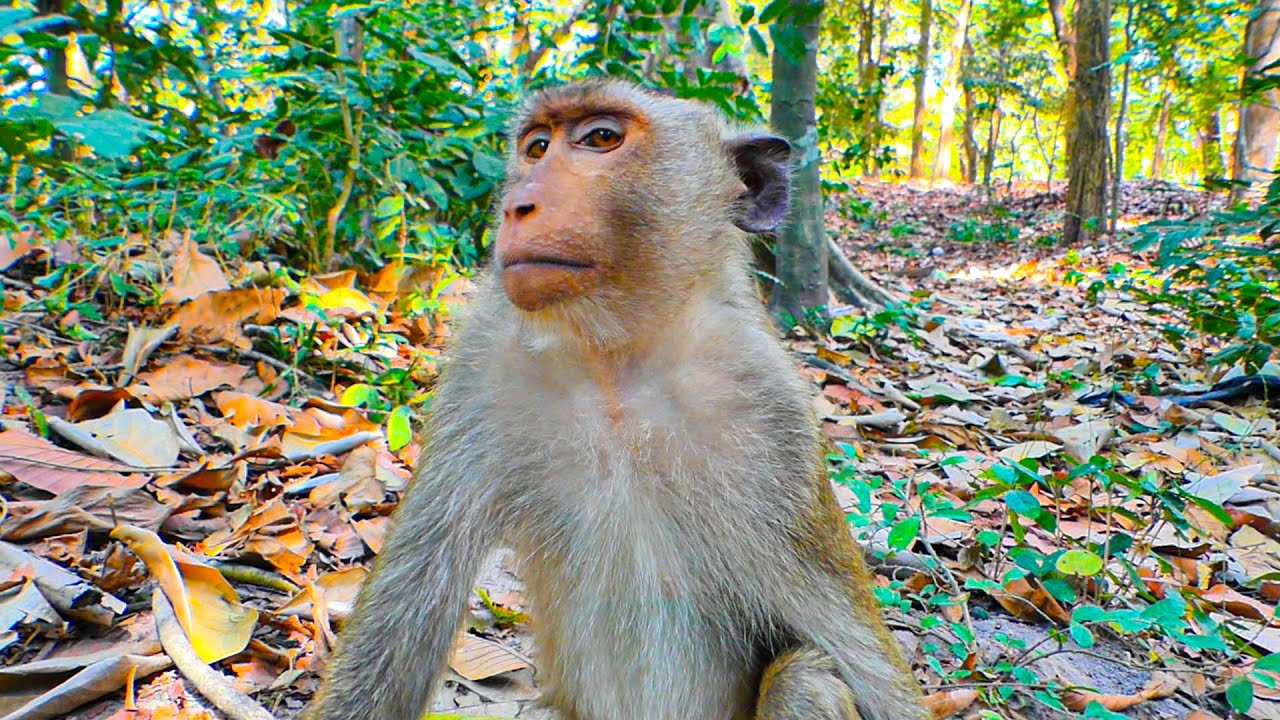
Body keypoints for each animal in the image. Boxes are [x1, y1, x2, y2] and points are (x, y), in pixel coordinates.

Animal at [305, 79, 928, 720]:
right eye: (536, 147)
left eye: (601, 138)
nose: (517, 205)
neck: (616, 361)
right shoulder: (481, 366)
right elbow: (400, 620)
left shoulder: (776, 419)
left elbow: (867, 665)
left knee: (806, 677)